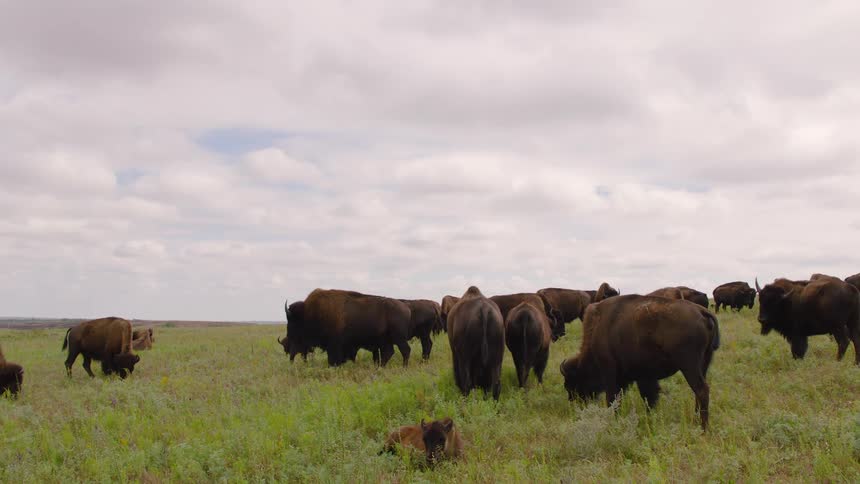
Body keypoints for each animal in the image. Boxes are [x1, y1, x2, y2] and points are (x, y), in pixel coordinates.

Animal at [281, 289, 412, 367]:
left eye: (292, 321)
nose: (289, 335)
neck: (309, 314)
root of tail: (406, 308)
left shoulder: (334, 345)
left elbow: (333, 359)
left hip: (398, 338)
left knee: (405, 350)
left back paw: (403, 367)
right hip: (386, 340)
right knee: (389, 352)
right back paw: (380, 368)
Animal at [560, 295, 720, 430]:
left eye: (571, 384)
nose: (574, 402)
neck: (597, 330)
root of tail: (702, 311)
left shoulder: (611, 374)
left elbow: (613, 399)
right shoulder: (644, 377)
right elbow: (648, 398)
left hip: (689, 366)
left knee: (701, 390)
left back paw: (703, 428)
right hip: (703, 364)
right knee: (699, 391)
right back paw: (696, 420)